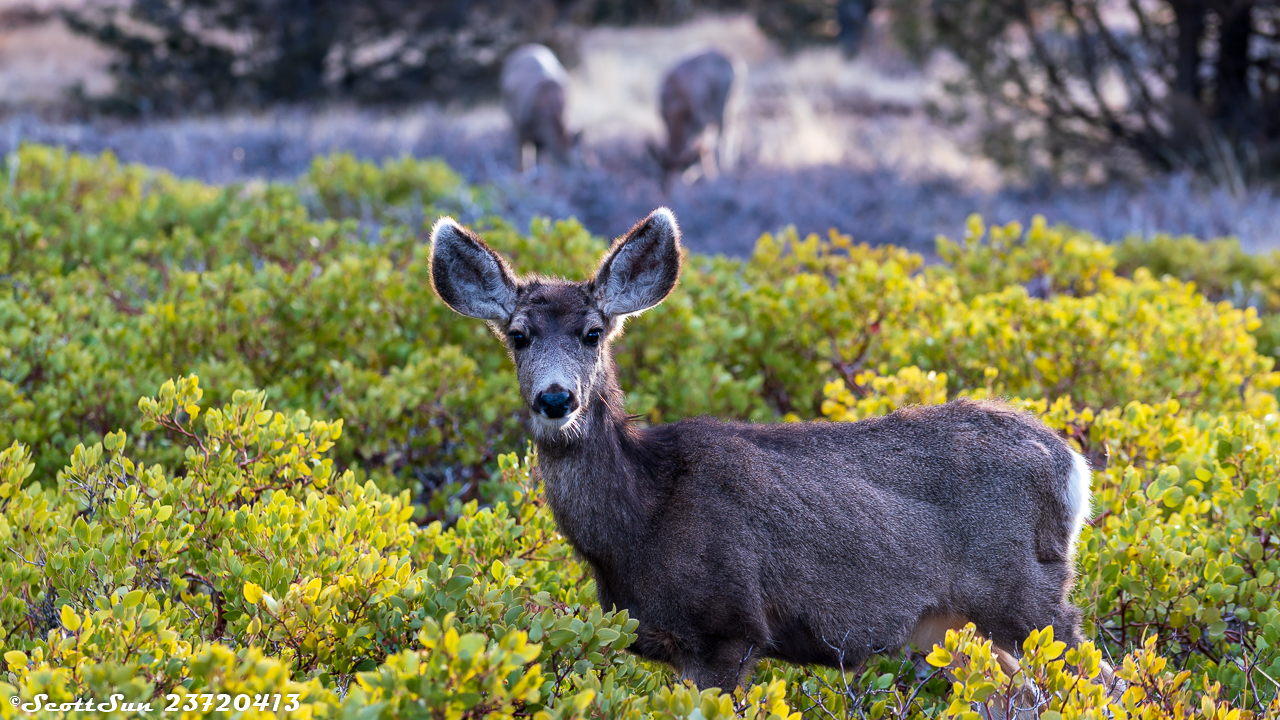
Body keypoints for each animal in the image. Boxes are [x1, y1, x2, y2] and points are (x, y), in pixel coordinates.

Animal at [650, 49, 742, 188]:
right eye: (665, 167)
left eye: (681, 168)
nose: (667, 185)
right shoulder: (664, 117)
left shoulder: (701, 119)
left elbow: (705, 145)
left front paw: (709, 176)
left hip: (724, 105)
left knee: (726, 132)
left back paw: (726, 166)